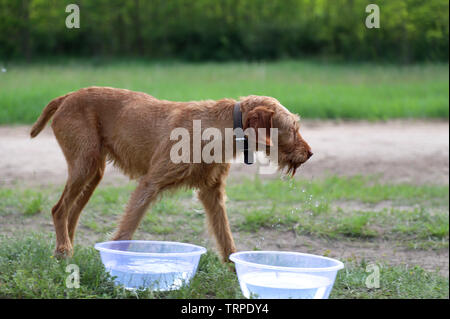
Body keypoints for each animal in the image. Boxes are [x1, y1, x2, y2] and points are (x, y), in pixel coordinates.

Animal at [29, 86, 312, 262]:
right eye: (293, 128)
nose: (310, 154)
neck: (220, 127)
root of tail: (67, 96)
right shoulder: (149, 184)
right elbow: (126, 231)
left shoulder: (212, 193)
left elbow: (226, 237)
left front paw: (237, 271)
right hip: (84, 165)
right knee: (59, 209)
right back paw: (64, 249)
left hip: (93, 172)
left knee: (72, 212)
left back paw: (64, 251)